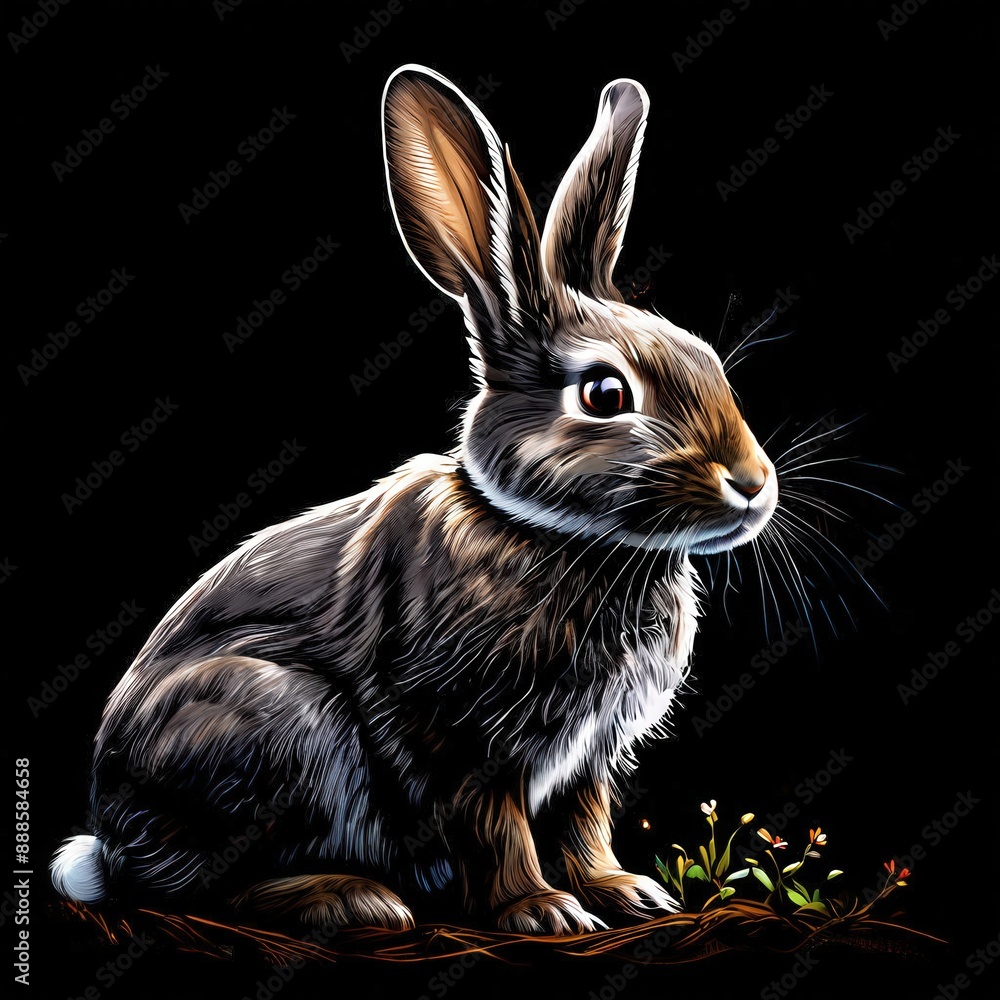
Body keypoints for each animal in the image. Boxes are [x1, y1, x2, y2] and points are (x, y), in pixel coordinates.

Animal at [50, 63, 778, 936]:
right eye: (606, 394)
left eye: (708, 361)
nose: (753, 484)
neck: (557, 537)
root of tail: (107, 841)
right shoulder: (456, 735)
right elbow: (495, 825)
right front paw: (543, 911)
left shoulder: (587, 758)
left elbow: (583, 821)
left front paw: (624, 891)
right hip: (274, 722)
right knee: (199, 887)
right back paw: (352, 898)